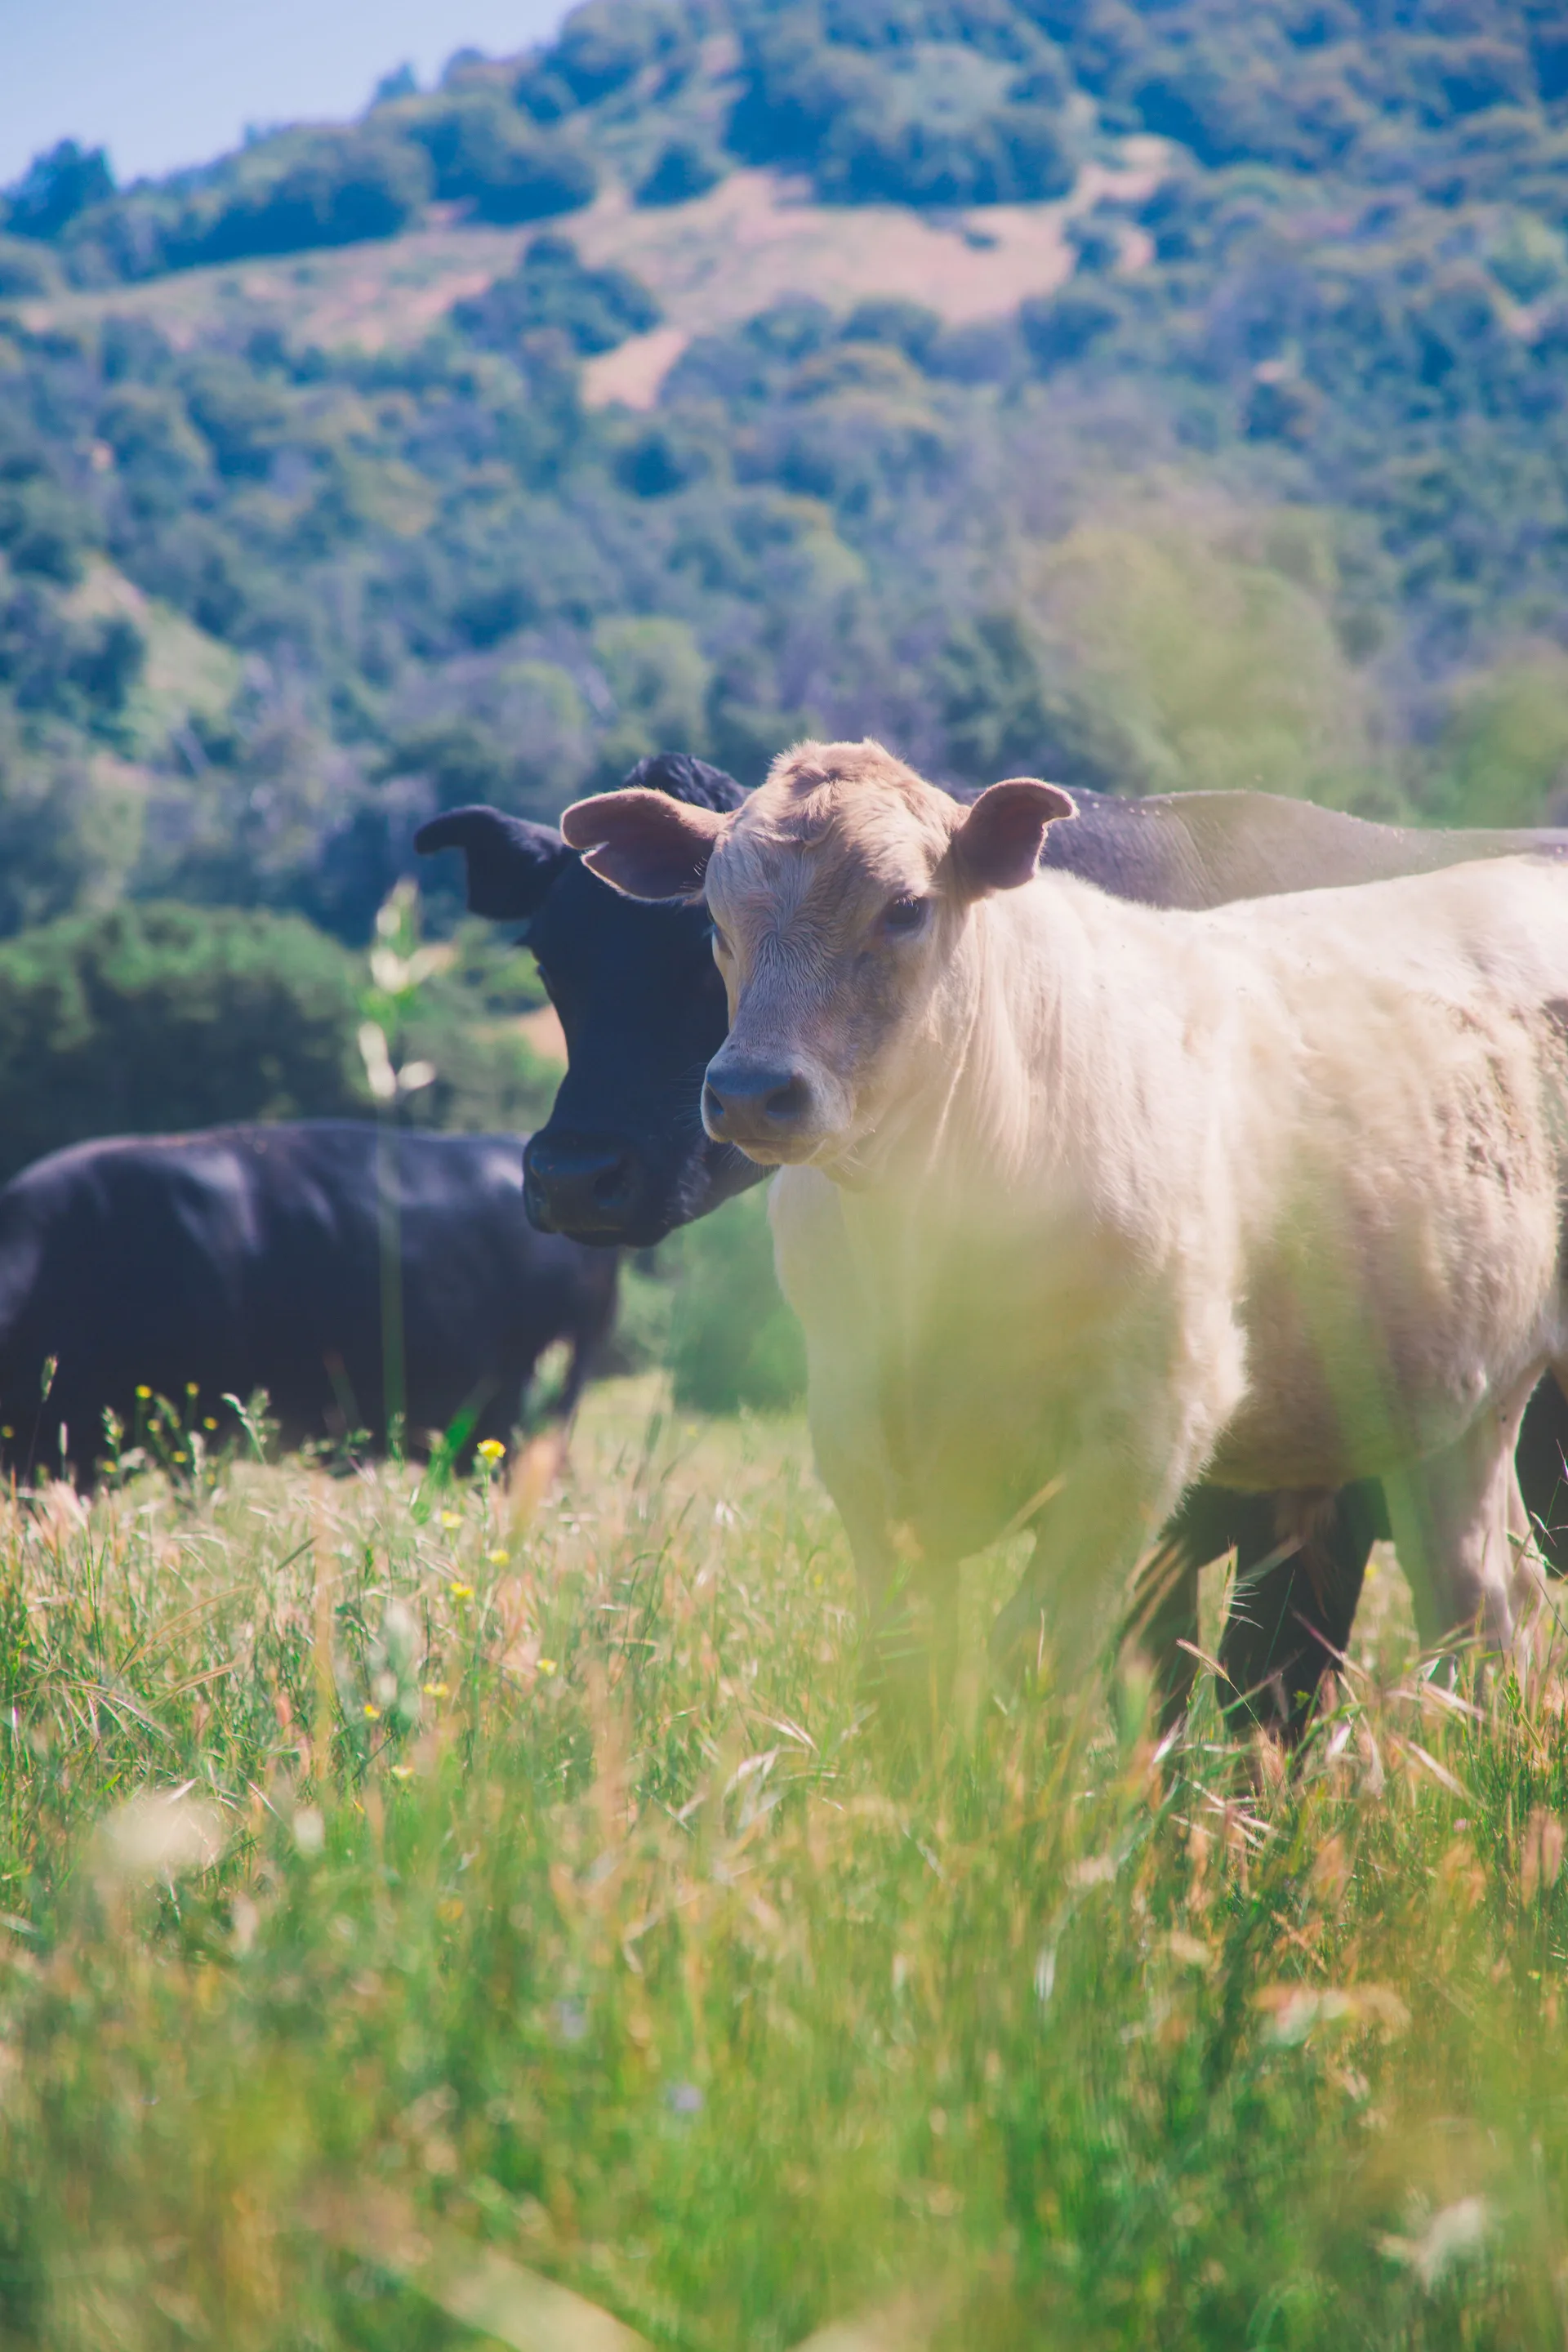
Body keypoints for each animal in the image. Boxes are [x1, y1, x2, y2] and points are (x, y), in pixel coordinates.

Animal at [417, 761, 1568, 1737]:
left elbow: (1114, 1675)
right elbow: (915, 1667)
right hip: (1448, 1406)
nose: (572, 1175)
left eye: (905, 907)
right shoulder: (861, 1445)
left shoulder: (1159, 1453)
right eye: (714, 917)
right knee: (1483, 1602)